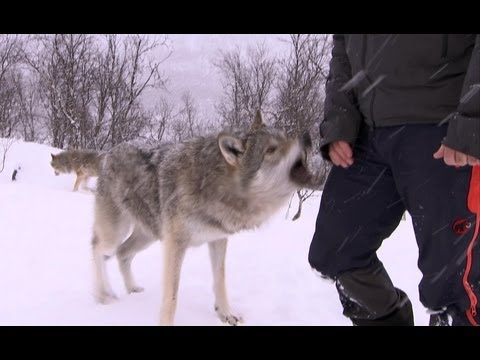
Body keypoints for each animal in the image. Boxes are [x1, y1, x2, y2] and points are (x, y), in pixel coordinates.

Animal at [90, 112, 322, 326]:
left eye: (286, 137)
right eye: (271, 150)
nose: (306, 137)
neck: (215, 186)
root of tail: (108, 153)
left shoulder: (218, 239)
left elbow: (220, 280)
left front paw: (226, 313)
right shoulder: (175, 245)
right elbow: (171, 296)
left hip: (148, 235)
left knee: (122, 253)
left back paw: (132, 289)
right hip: (117, 233)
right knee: (97, 248)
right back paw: (102, 295)